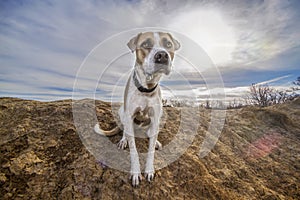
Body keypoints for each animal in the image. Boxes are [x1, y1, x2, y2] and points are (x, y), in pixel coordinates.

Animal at [94, 31, 179, 186]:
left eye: (168, 44)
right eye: (145, 44)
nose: (162, 55)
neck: (147, 88)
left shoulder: (155, 116)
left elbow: (150, 150)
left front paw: (149, 169)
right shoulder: (129, 114)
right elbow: (133, 150)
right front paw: (135, 172)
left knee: (151, 133)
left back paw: (155, 140)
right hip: (122, 112)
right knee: (125, 131)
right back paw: (124, 140)